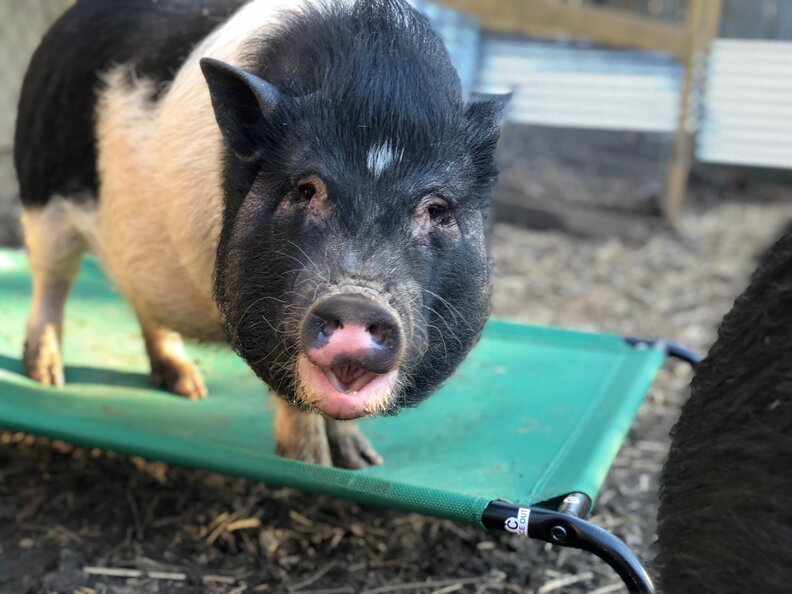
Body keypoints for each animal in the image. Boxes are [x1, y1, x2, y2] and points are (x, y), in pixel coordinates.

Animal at [14, 0, 506, 467]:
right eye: (305, 188)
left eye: (436, 209)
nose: (356, 302)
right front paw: (311, 461)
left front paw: (361, 463)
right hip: (41, 187)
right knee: (51, 279)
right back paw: (48, 377)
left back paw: (189, 388)